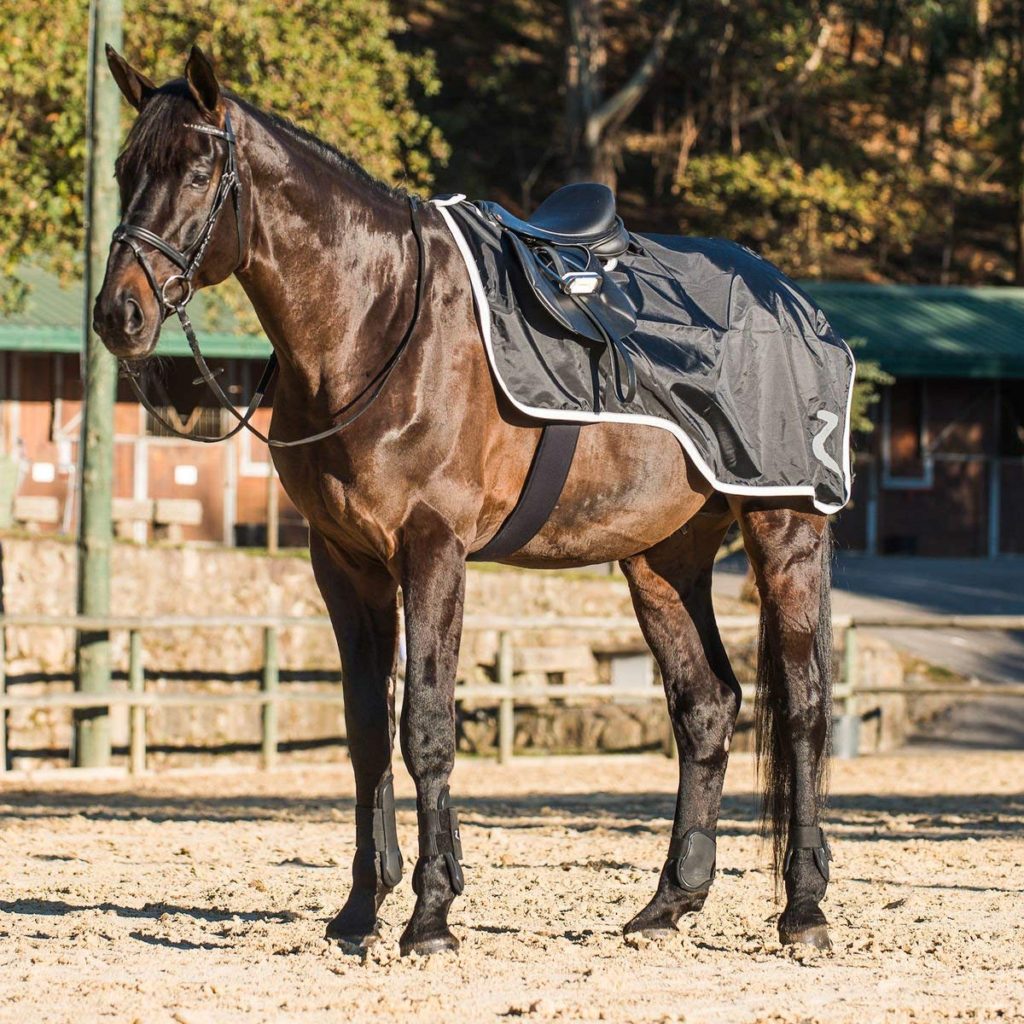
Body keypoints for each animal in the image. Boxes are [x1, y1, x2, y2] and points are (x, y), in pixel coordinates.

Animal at [93, 45, 837, 956]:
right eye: (125, 170)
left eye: (198, 171)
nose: (119, 313)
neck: (375, 321)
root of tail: (797, 304)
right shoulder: (345, 564)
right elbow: (367, 731)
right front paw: (361, 909)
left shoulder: (433, 550)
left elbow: (426, 725)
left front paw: (431, 915)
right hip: (661, 561)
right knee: (707, 707)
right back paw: (669, 902)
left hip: (785, 532)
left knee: (802, 708)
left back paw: (804, 909)